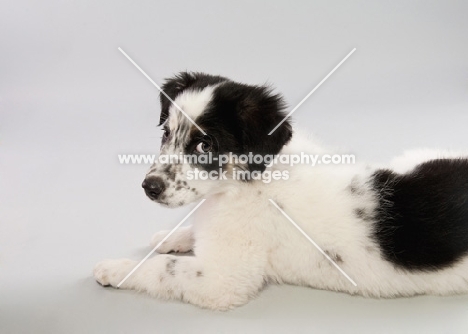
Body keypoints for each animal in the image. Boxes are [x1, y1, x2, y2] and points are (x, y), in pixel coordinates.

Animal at [93, 72, 468, 310]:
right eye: (166, 134)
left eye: (205, 145)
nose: (149, 187)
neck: (246, 181)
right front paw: (172, 236)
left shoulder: (223, 278)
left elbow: (162, 268)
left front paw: (115, 269)